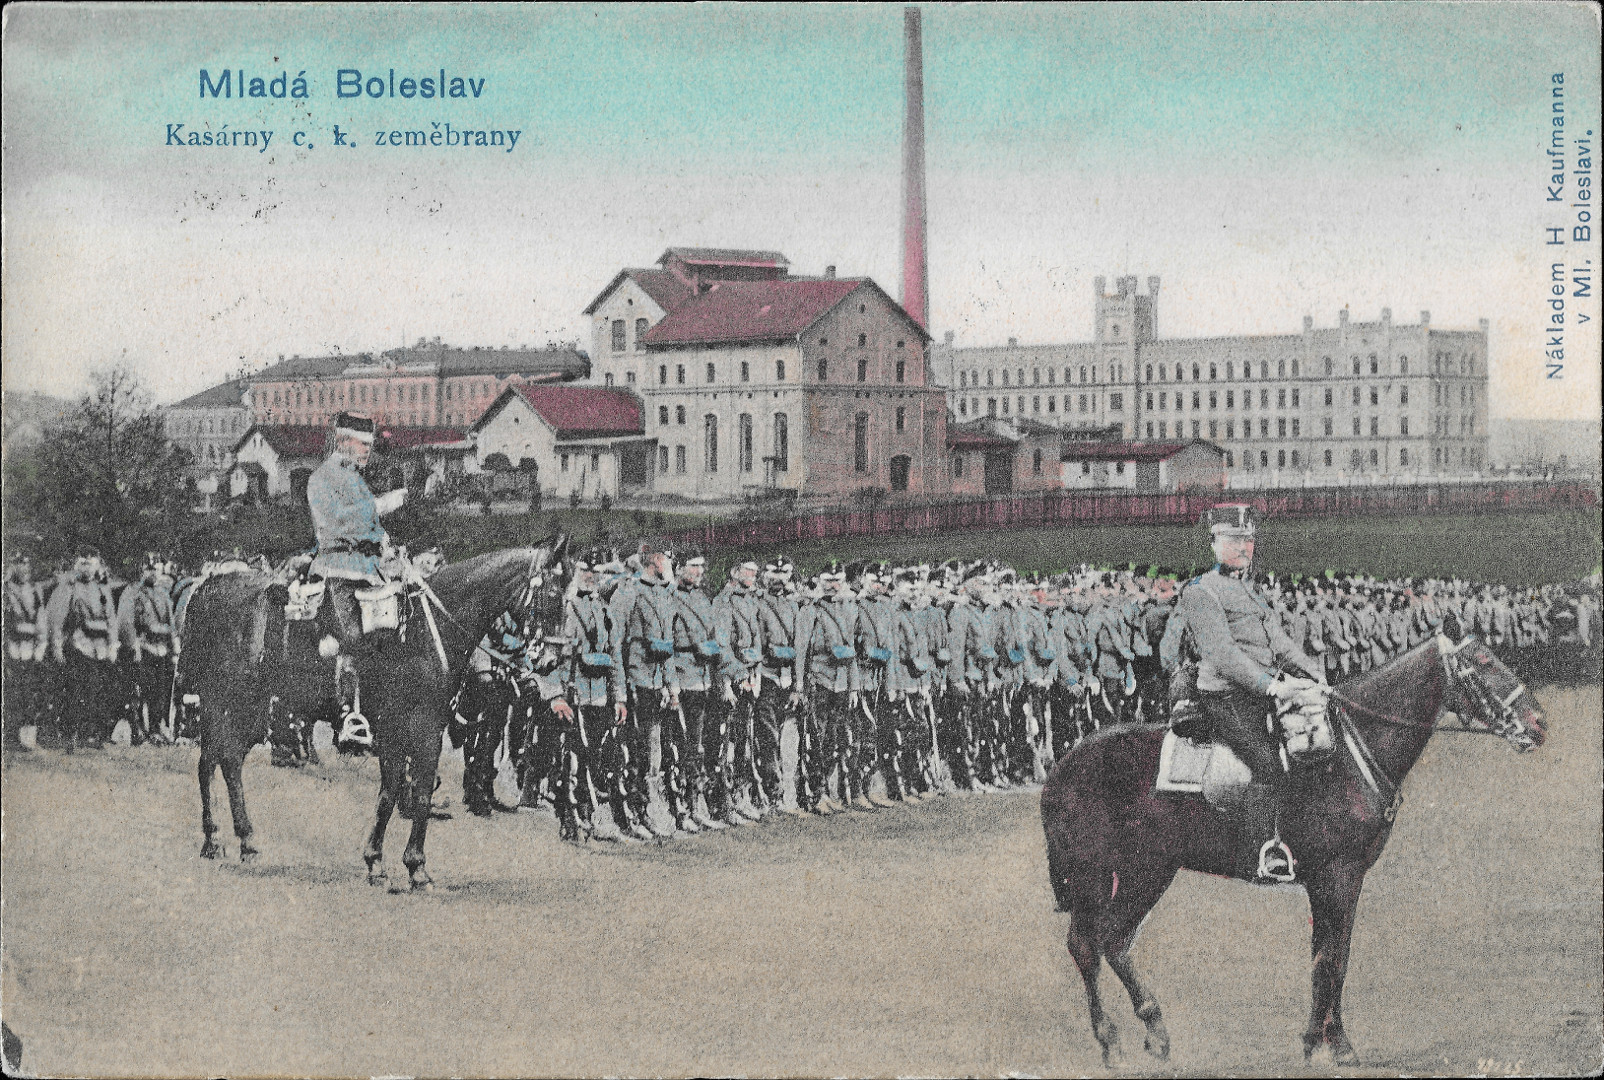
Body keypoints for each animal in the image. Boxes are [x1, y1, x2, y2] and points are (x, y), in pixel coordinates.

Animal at [183, 535, 571, 885]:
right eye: (554, 594)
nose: (553, 660)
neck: (427, 632)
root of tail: (209, 588)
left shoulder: (412, 729)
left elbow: (401, 789)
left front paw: (387, 861)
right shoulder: (412, 727)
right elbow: (407, 790)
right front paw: (405, 865)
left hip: (243, 710)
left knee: (220, 762)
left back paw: (229, 840)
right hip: (225, 703)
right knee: (220, 763)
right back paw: (228, 839)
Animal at [1039, 632, 1539, 1059]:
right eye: (1484, 662)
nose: (1538, 723)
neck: (1348, 755)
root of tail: (1062, 767)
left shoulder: (1332, 881)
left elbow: (1330, 956)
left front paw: (1319, 1038)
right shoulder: (1338, 876)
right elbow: (1332, 959)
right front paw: (1334, 1044)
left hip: (1148, 870)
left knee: (1111, 940)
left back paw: (1153, 1032)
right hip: (1100, 874)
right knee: (1088, 945)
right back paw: (1113, 1038)